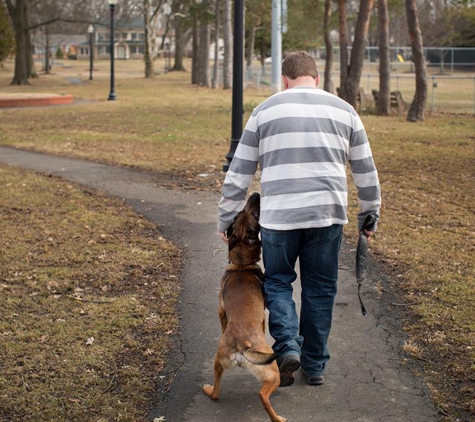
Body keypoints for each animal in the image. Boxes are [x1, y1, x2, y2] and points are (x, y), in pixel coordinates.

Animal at [202, 194, 286, 422]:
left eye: (238, 214)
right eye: (253, 213)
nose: (256, 194)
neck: (242, 266)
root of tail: (243, 345)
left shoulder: (221, 311)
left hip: (219, 362)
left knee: (216, 393)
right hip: (270, 371)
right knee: (262, 395)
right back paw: (277, 417)